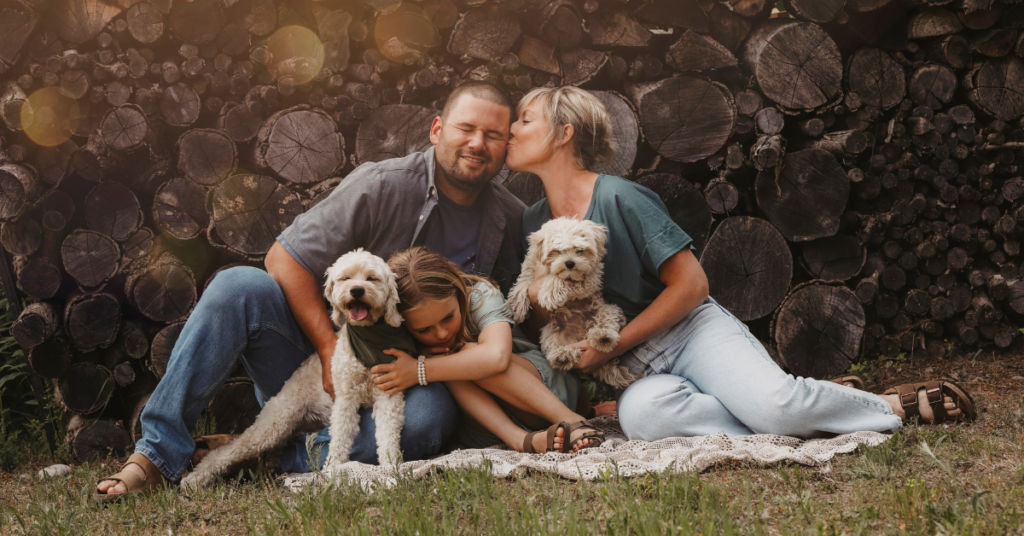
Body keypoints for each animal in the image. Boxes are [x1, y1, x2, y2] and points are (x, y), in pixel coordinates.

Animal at [180, 250, 407, 487]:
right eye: (346, 278)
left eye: (372, 278)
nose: (357, 290)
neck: (367, 341)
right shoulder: (345, 398)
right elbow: (341, 438)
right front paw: (333, 470)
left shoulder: (388, 395)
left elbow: (388, 435)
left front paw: (391, 469)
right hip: (274, 422)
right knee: (228, 451)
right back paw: (196, 477)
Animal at [509, 218, 643, 389]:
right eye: (558, 251)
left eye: (580, 250)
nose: (570, 263)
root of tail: (582, 334)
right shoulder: (531, 266)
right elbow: (522, 284)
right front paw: (517, 308)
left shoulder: (590, 277)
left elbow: (564, 279)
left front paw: (549, 292)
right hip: (551, 331)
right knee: (566, 353)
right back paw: (562, 356)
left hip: (608, 309)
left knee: (606, 324)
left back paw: (603, 337)